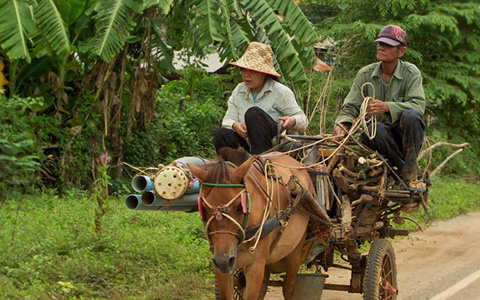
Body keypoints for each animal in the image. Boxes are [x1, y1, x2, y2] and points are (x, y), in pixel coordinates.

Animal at [188, 148, 316, 300]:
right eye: (204, 208)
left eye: (240, 207)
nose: (223, 260)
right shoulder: (221, 267)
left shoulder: (255, 266)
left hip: (294, 251)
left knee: (288, 288)